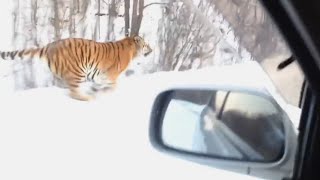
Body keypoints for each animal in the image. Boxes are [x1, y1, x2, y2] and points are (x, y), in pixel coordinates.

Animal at [0, 34, 152, 100]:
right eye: (147, 45)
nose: (152, 49)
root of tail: (49, 46)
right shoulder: (110, 76)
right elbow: (113, 87)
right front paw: (99, 93)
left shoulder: (99, 76)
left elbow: (97, 86)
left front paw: (94, 92)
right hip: (77, 71)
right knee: (72, 93)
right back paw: (86, 98)